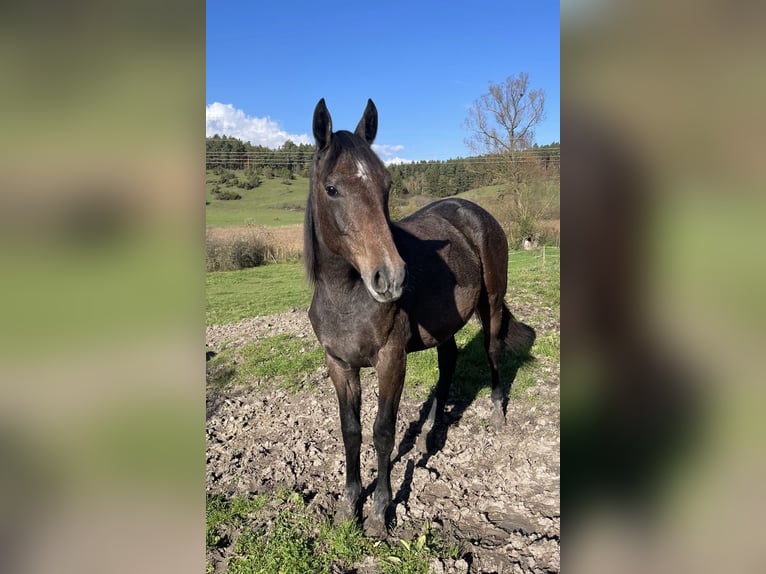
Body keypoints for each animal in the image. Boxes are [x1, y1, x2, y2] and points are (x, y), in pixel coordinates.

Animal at [304, 100, 536, 540]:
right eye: (331, 188)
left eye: (387, 186)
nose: (391, 277)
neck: (347, 295)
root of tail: (476, 212)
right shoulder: (338, 364)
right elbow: (350, 431)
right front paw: (349, 505)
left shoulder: (391, 360)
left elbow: (382, 432)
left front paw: (379, 512)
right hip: (446, 323)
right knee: (448, 362)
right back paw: (431, 428)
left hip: (492, 304)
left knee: (492, 350)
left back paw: (496, 412)